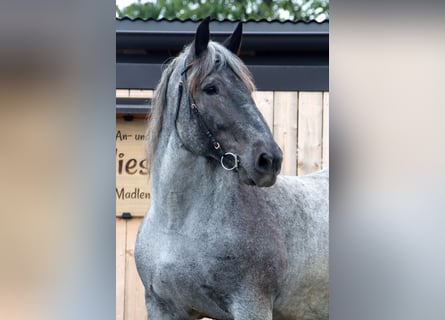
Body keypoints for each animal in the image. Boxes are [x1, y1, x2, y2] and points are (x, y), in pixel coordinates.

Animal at [134, 17, 328, 320]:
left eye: (247, 89)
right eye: (210, 88)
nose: (269, 160)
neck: (179, 226)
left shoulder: (251, 306)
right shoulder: (163, 308)